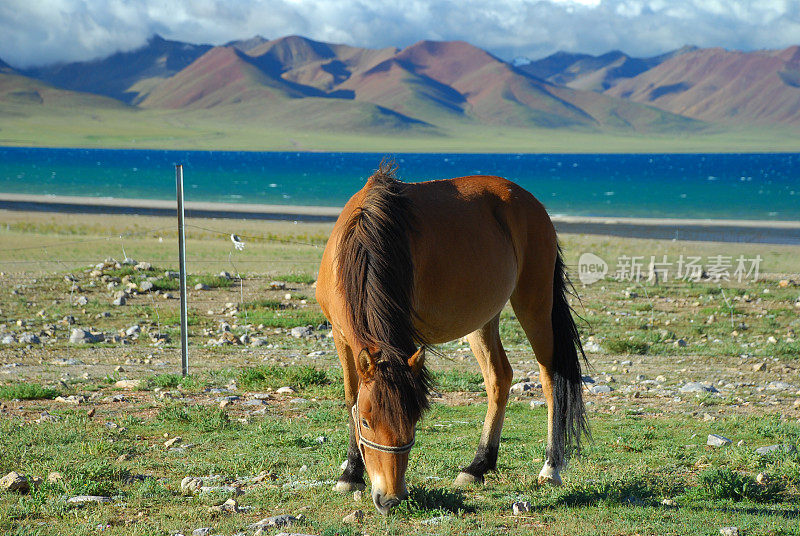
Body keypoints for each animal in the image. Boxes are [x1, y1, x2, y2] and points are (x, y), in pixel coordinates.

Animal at [318, 162, 588, 516]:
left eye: (414, 418)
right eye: (365, 421)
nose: (390, 498)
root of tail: (530, 202)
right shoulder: (341, 336)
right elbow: (351, 395)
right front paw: (351, 474)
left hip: (535, 304)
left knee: (550, 378)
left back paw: (551, 468)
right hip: (482, 320)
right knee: (499, 377)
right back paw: (478, 466)